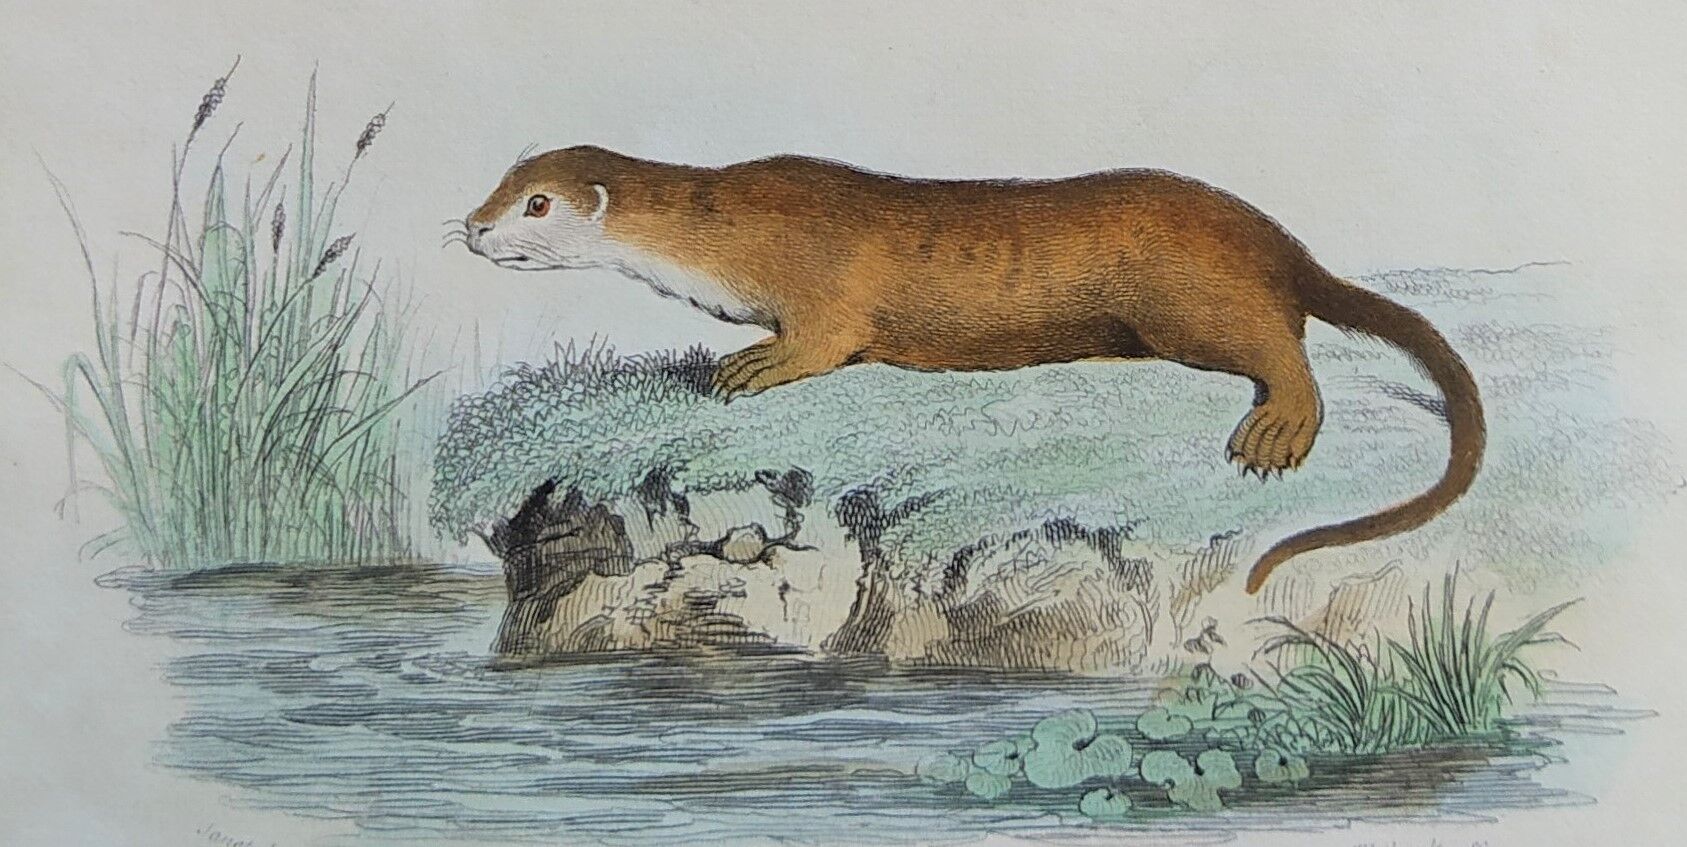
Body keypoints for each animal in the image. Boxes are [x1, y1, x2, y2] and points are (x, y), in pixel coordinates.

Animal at [459, 146, 1484, 593]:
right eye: (498, 185)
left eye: (535, 204)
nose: (470, 225)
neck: (734, 227)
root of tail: (1273, 240)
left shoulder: (822, 283)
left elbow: (822, 340)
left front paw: (748, 362)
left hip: (1194, 300)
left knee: (1283, 346)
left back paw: (1276, 428)